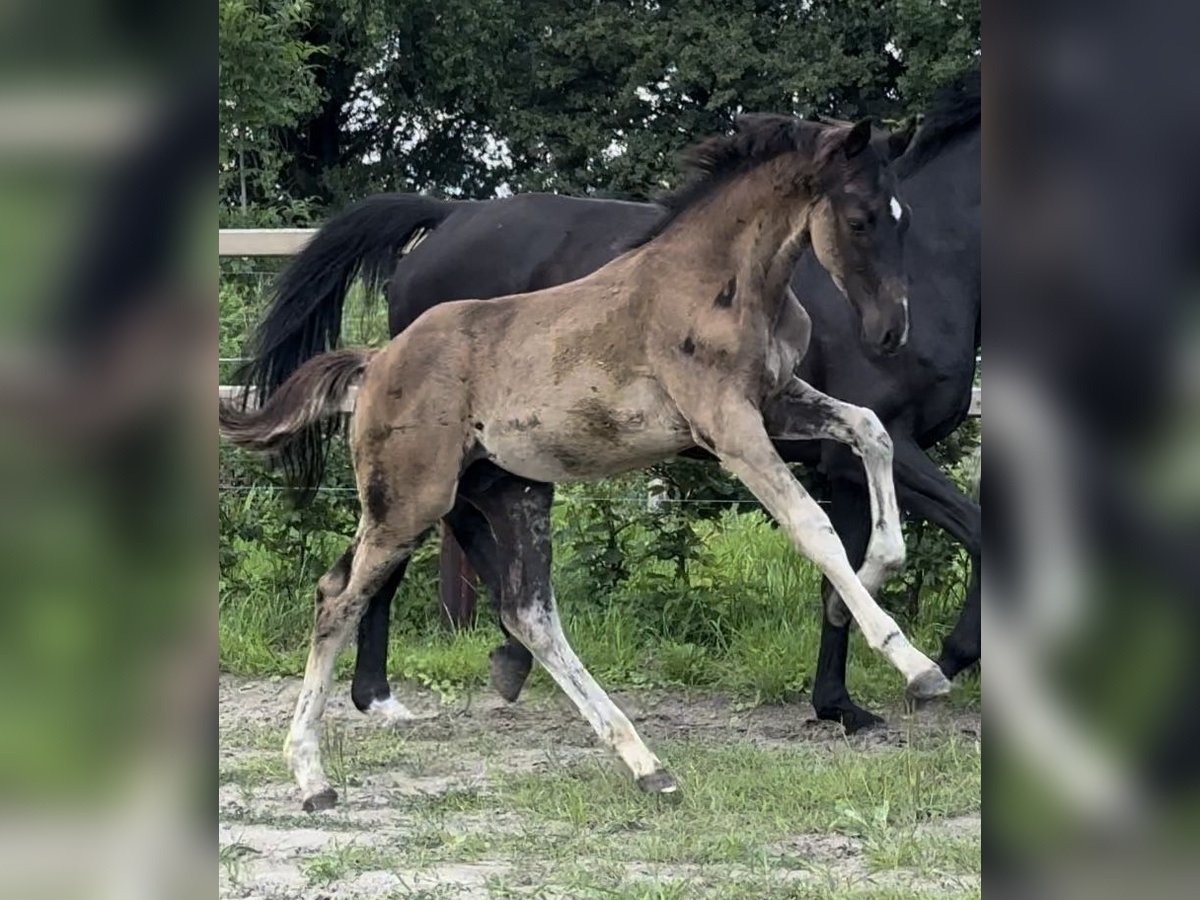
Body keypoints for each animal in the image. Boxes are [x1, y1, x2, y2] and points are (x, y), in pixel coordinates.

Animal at [221, 116, 953, 810]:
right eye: (858, 218)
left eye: (904, 218)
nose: (890, 331)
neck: (722, 283)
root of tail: (376, 361)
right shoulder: (729, 426)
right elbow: (814, 526)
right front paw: (916, 665)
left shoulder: (777, 401)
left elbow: (871, 431)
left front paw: (876, 571)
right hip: (410, 499)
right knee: (340, 600)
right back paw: (312, 777)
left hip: (509, 492)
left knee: (527, 614)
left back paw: (646, 765)